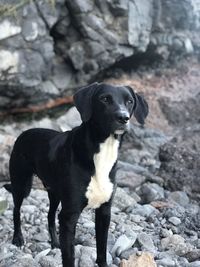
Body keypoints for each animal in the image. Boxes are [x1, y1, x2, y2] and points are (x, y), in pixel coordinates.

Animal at [4, 83, 148, 267]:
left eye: (129, 101)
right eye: (104, 99)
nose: (123, 118)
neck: (101, 152)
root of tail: (24, 133)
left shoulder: (104, 212)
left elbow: (102, 248)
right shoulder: (69, 216)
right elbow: (69, 256)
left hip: (54, 192)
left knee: (50, 215)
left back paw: (55, 242)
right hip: (22, 184)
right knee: (16, 210)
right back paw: (18, 238)